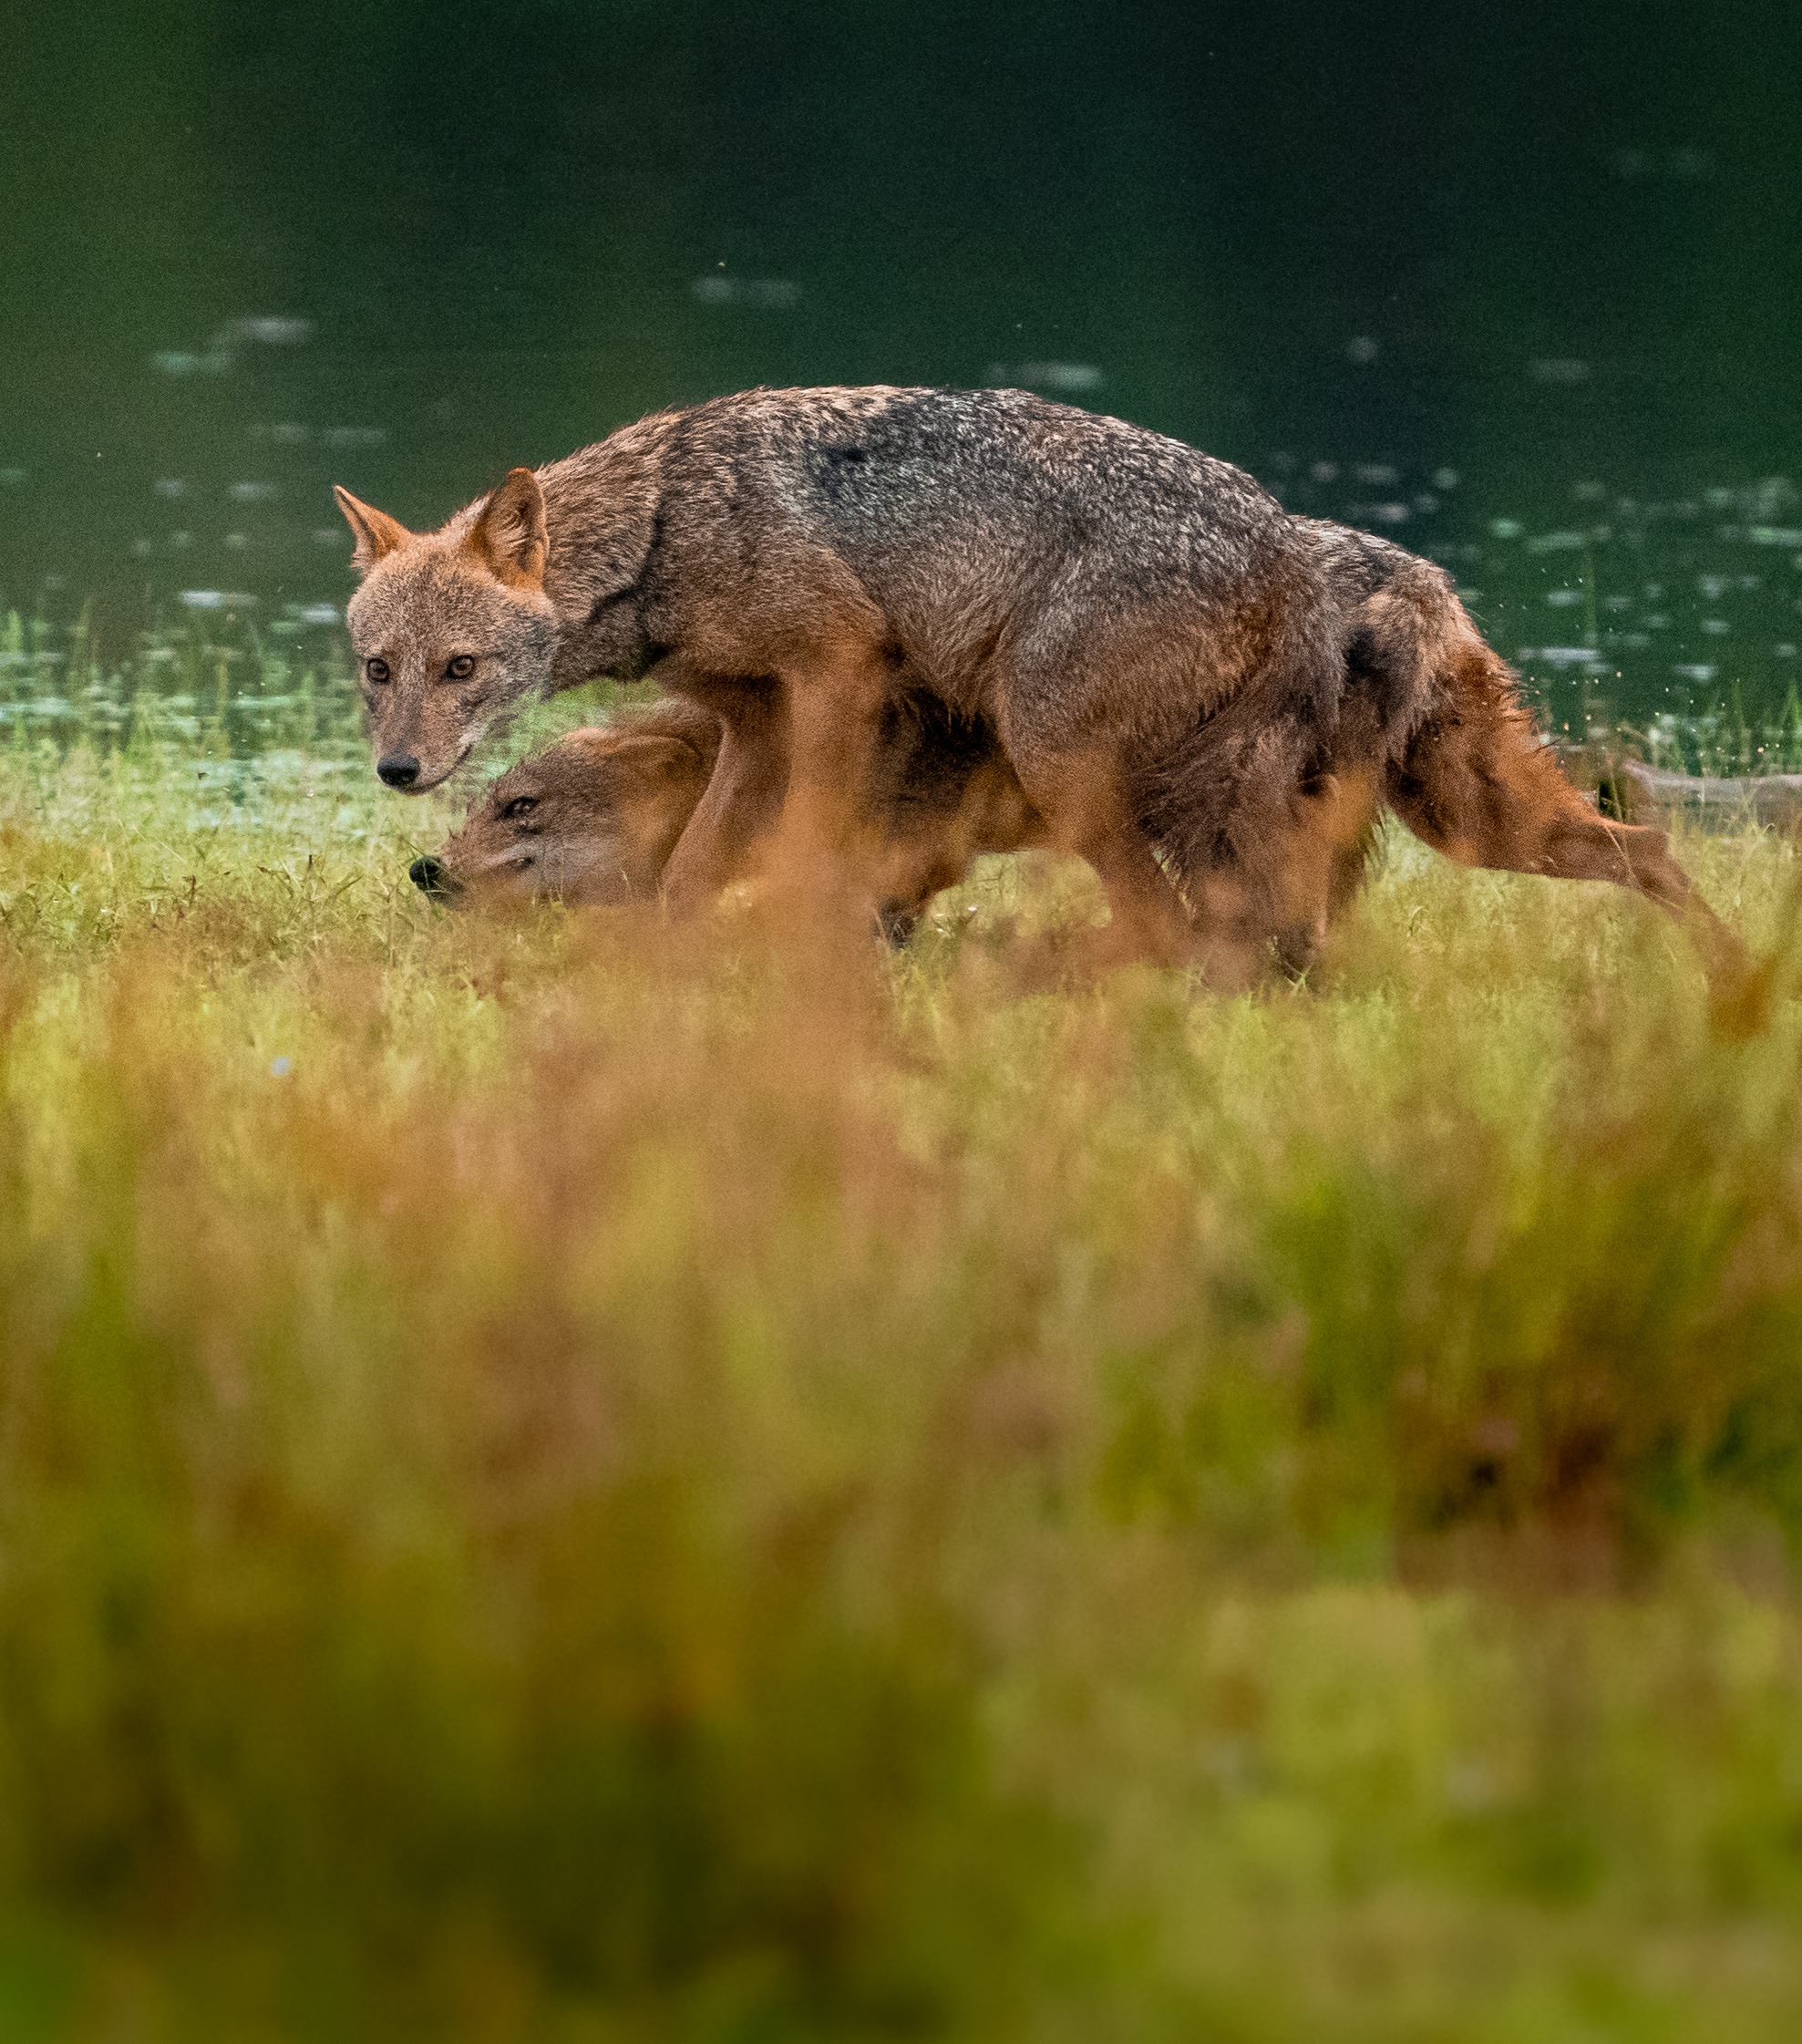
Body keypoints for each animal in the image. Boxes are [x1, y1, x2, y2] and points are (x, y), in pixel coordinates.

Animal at [337, 385, 1732, 979]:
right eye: (376, 670)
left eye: (461, 669)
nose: (401, 785)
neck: (668, 527)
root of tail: (1292, 553)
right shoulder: (755, 721)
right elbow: (693, 879)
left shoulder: (838, 680)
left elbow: (803, 861)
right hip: (1477, 822)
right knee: (1649, 847)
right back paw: (1729, 992)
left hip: (1077, 767)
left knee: (1178, 929)